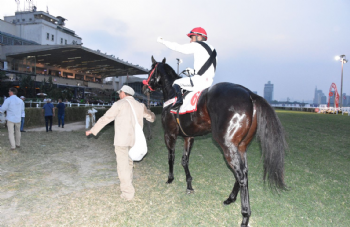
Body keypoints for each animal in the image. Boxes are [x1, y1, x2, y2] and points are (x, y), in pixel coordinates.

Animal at [143, 56, 288, 227]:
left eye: (150, 70)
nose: (145, 87)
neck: (173, 96)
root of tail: (250, 94)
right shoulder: (188, 137)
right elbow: (184, 160)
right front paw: (189, 185)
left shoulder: (169, 134)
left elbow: (171, 157)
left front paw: (170, 178)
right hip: (240, 146)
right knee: (244, 172)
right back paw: (230, 198)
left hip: (227, 146)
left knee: (241, 175)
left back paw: (245, 216)